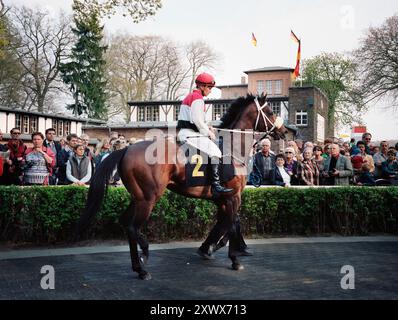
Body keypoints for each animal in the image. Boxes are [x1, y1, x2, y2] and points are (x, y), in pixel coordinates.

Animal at [75, 94, 286, 278]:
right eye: (270, 111)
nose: (283, 131)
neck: (232, 150)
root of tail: (126, 149)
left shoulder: (222, 199)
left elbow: (226, 223)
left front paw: (209, 247)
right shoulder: (233, 197)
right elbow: (232, 224)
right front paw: (233, 258)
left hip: (137, 197)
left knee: (126, 223)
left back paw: (138, 266)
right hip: (148, 198)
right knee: (133, 227)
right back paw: (144, 257)